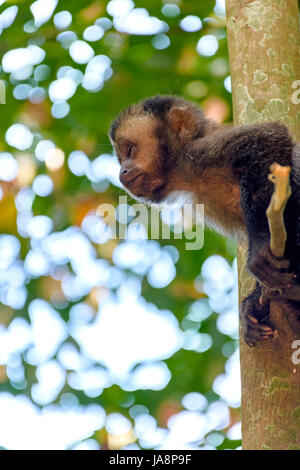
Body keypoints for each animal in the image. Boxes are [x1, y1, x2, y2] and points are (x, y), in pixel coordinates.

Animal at [109, 94, 300, 346]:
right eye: (121, 158)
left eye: (130, 148)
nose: (122, 171)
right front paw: (253, 304)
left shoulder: (199, 153)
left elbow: (269, 137)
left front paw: (261, 246)